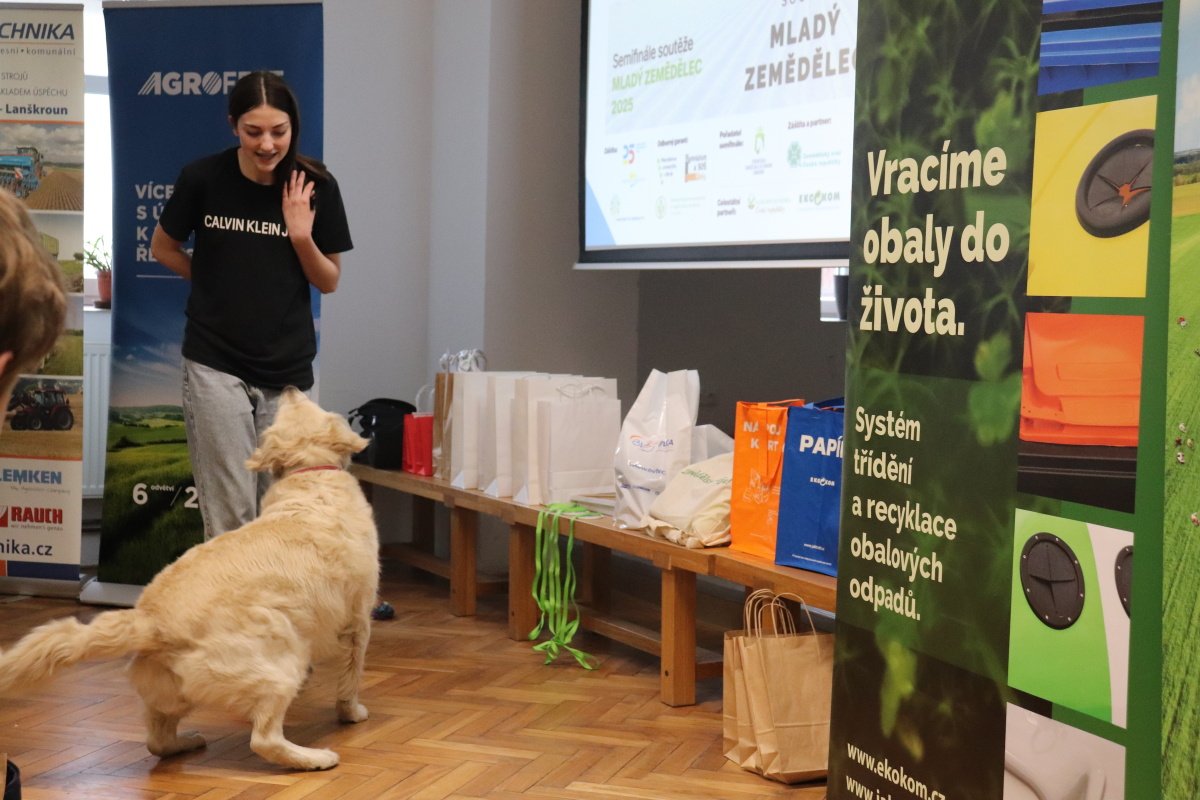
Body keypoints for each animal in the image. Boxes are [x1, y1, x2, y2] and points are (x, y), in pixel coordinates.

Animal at [0, 387, 379, 770]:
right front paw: (352, 713)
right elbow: (351, 676)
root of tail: (149, 621)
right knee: (264, 739)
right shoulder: (359, 620)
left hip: (168, 693)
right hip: (279, 665)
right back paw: (314, 758)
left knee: (157, 741)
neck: (310, 475)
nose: (290, 388)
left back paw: (188, 742)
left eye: (288, 410)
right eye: (304, 404)